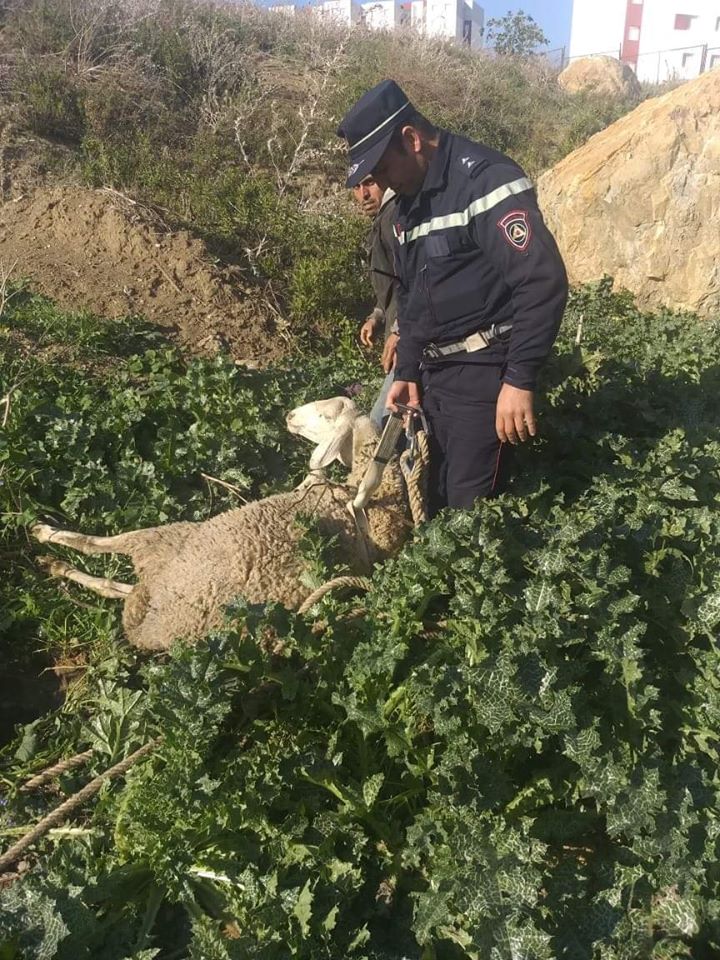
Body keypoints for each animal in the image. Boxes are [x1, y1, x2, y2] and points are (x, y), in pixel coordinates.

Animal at [32, 397, 413, 652]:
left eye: (328, 412)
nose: (289, 415)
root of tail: (150, 603)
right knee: (108, 576)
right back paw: (53, 556)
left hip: (164, 540)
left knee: (102, 559)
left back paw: (48, 543)